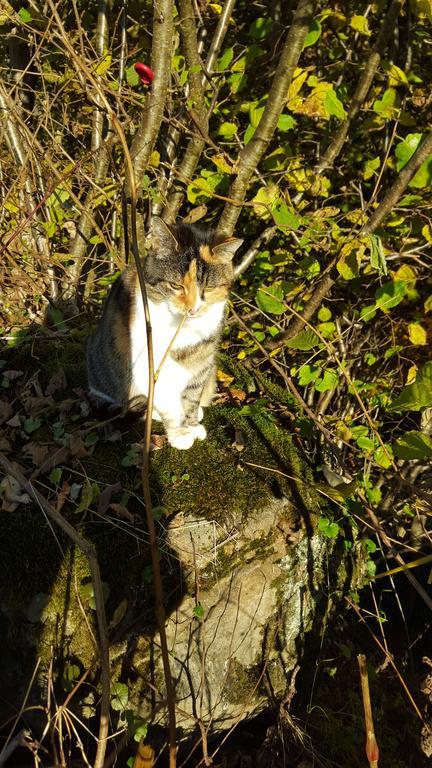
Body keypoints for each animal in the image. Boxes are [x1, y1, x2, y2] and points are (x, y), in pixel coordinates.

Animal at [88, 216, 243, 450]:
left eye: (208, 289)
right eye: (175, 285)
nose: (193, 309)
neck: (183, 330)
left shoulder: (202, 362)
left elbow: (192, 396)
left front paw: (192, 424)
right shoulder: (149, 364)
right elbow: (168, 403)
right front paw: (180, 433)